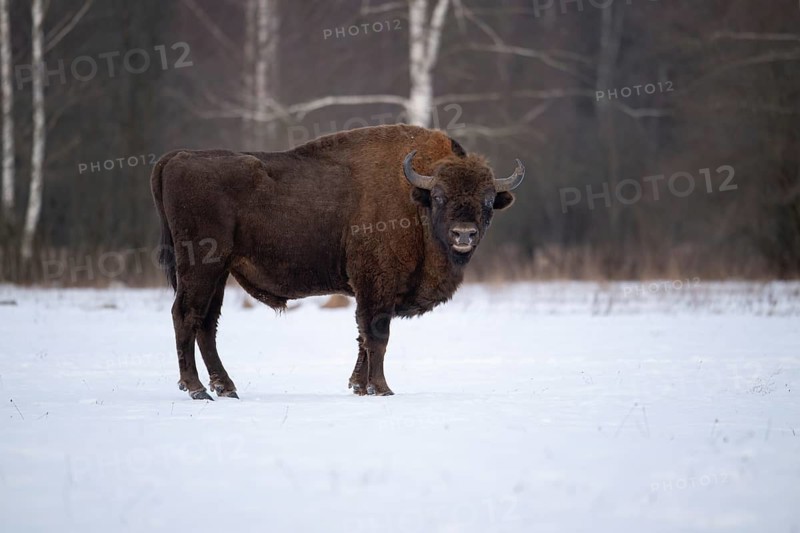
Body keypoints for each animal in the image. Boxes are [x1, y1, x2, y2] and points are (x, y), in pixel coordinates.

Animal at [151, 124, 523, 400]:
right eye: (440, 196)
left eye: (487, 200)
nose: (464, 234)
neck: (414, 198)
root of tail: (175, 158)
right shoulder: (376, 284)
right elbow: (377, 335)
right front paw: (381, 389)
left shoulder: (370, 290)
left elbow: (363, 337)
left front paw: (359, 386)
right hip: (201, 267)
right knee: (185, 315)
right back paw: (196, 389)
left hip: (219, 272)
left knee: (206, 323)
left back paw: (225, 388)